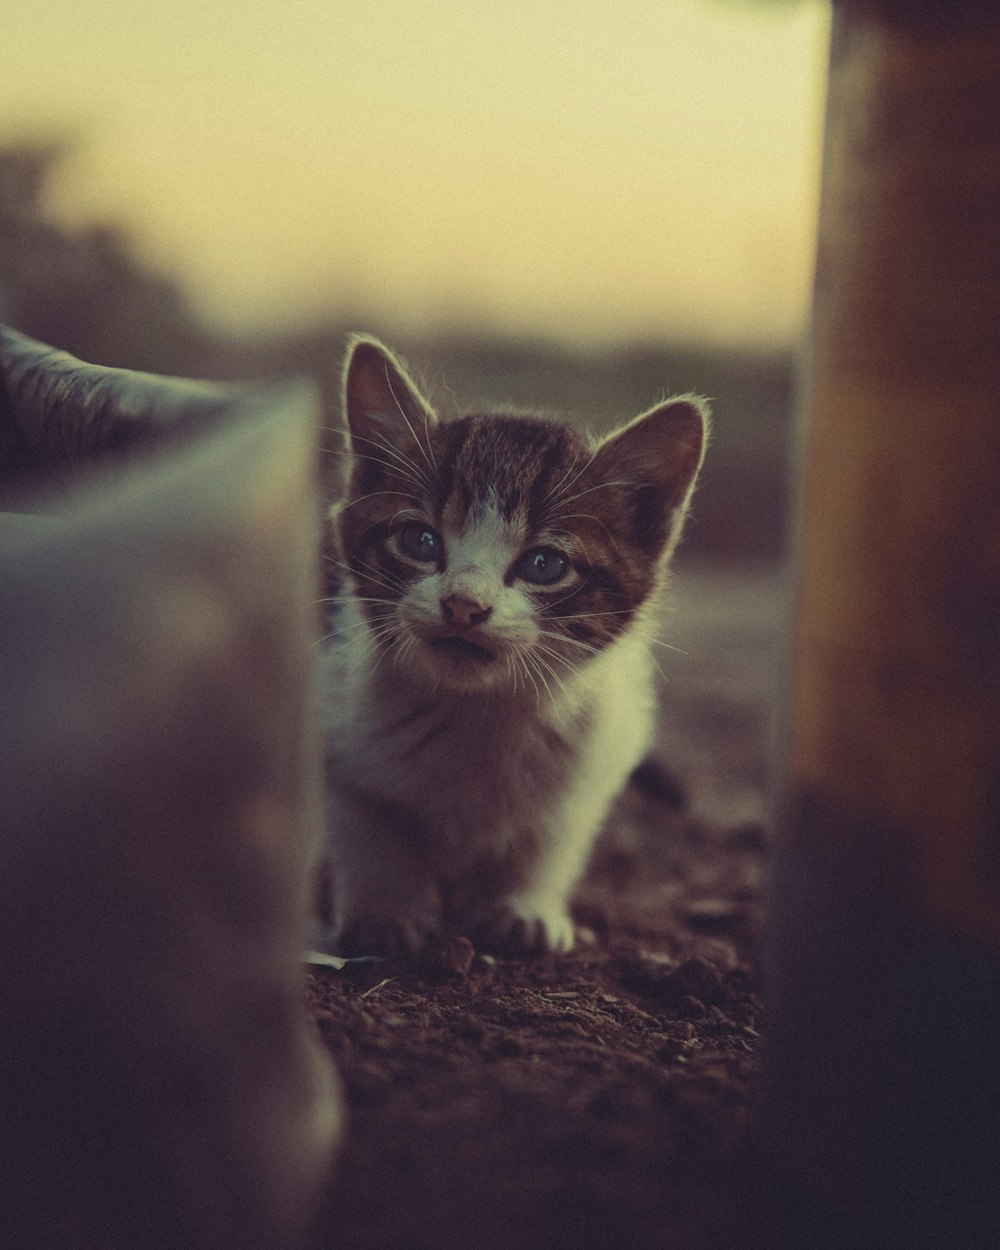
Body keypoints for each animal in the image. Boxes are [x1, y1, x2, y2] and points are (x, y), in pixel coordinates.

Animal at [318, 335, 705, 955]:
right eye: (419, 540)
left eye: (544, 564)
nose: (463, 605)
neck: (477, 712)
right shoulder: (336, 720)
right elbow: (368, 829)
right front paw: (385, 913)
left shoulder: (594, 756)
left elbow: (547, 839)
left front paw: (522, 907)